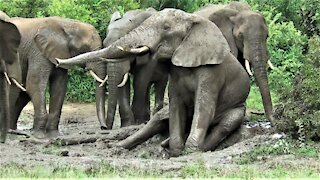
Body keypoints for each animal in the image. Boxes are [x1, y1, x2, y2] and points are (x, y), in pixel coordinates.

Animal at [56, 8, 250, 156]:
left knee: (227, 124)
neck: (194, 20)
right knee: (157, 121)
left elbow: (204, 109)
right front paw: (176, 151)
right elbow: (176, 105)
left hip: (237, 109)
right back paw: (115, 148)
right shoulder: (175, 71)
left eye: (166, 27)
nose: (57, 61)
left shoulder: (212, 73)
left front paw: (189, 151)